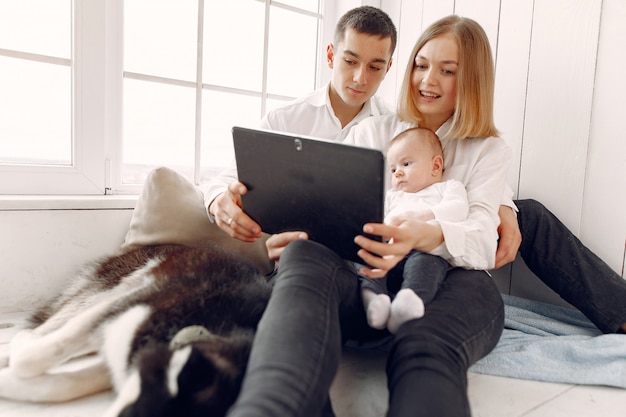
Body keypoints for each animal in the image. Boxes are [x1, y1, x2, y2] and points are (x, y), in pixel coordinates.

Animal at [0, 244, 270, 416]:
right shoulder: (124, 307)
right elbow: (30, 358)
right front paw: (19, 351)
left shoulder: (129, 351)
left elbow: (65, 385)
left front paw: (8, 383)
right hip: (109, 289)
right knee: (48, 328)